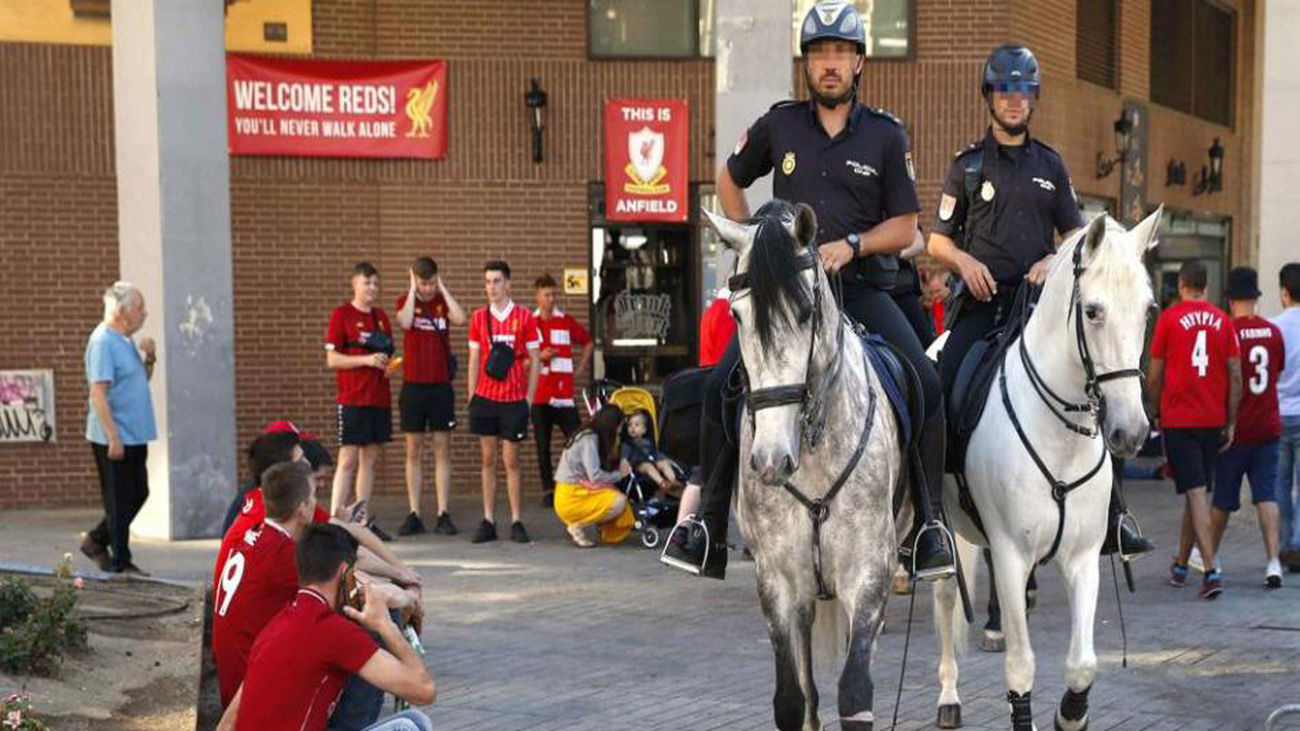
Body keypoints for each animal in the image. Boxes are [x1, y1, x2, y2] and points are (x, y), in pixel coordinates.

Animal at [930, 208, 1164, 723]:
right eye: (1092, 311)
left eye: (1147, 311)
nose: (1132, 432)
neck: (1060, 437)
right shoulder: (1012, 556)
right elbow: (1021, 668)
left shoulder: (1083, 557)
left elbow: (1082, 664)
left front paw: (1071, 713)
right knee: (946, 599)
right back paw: (949, 696)